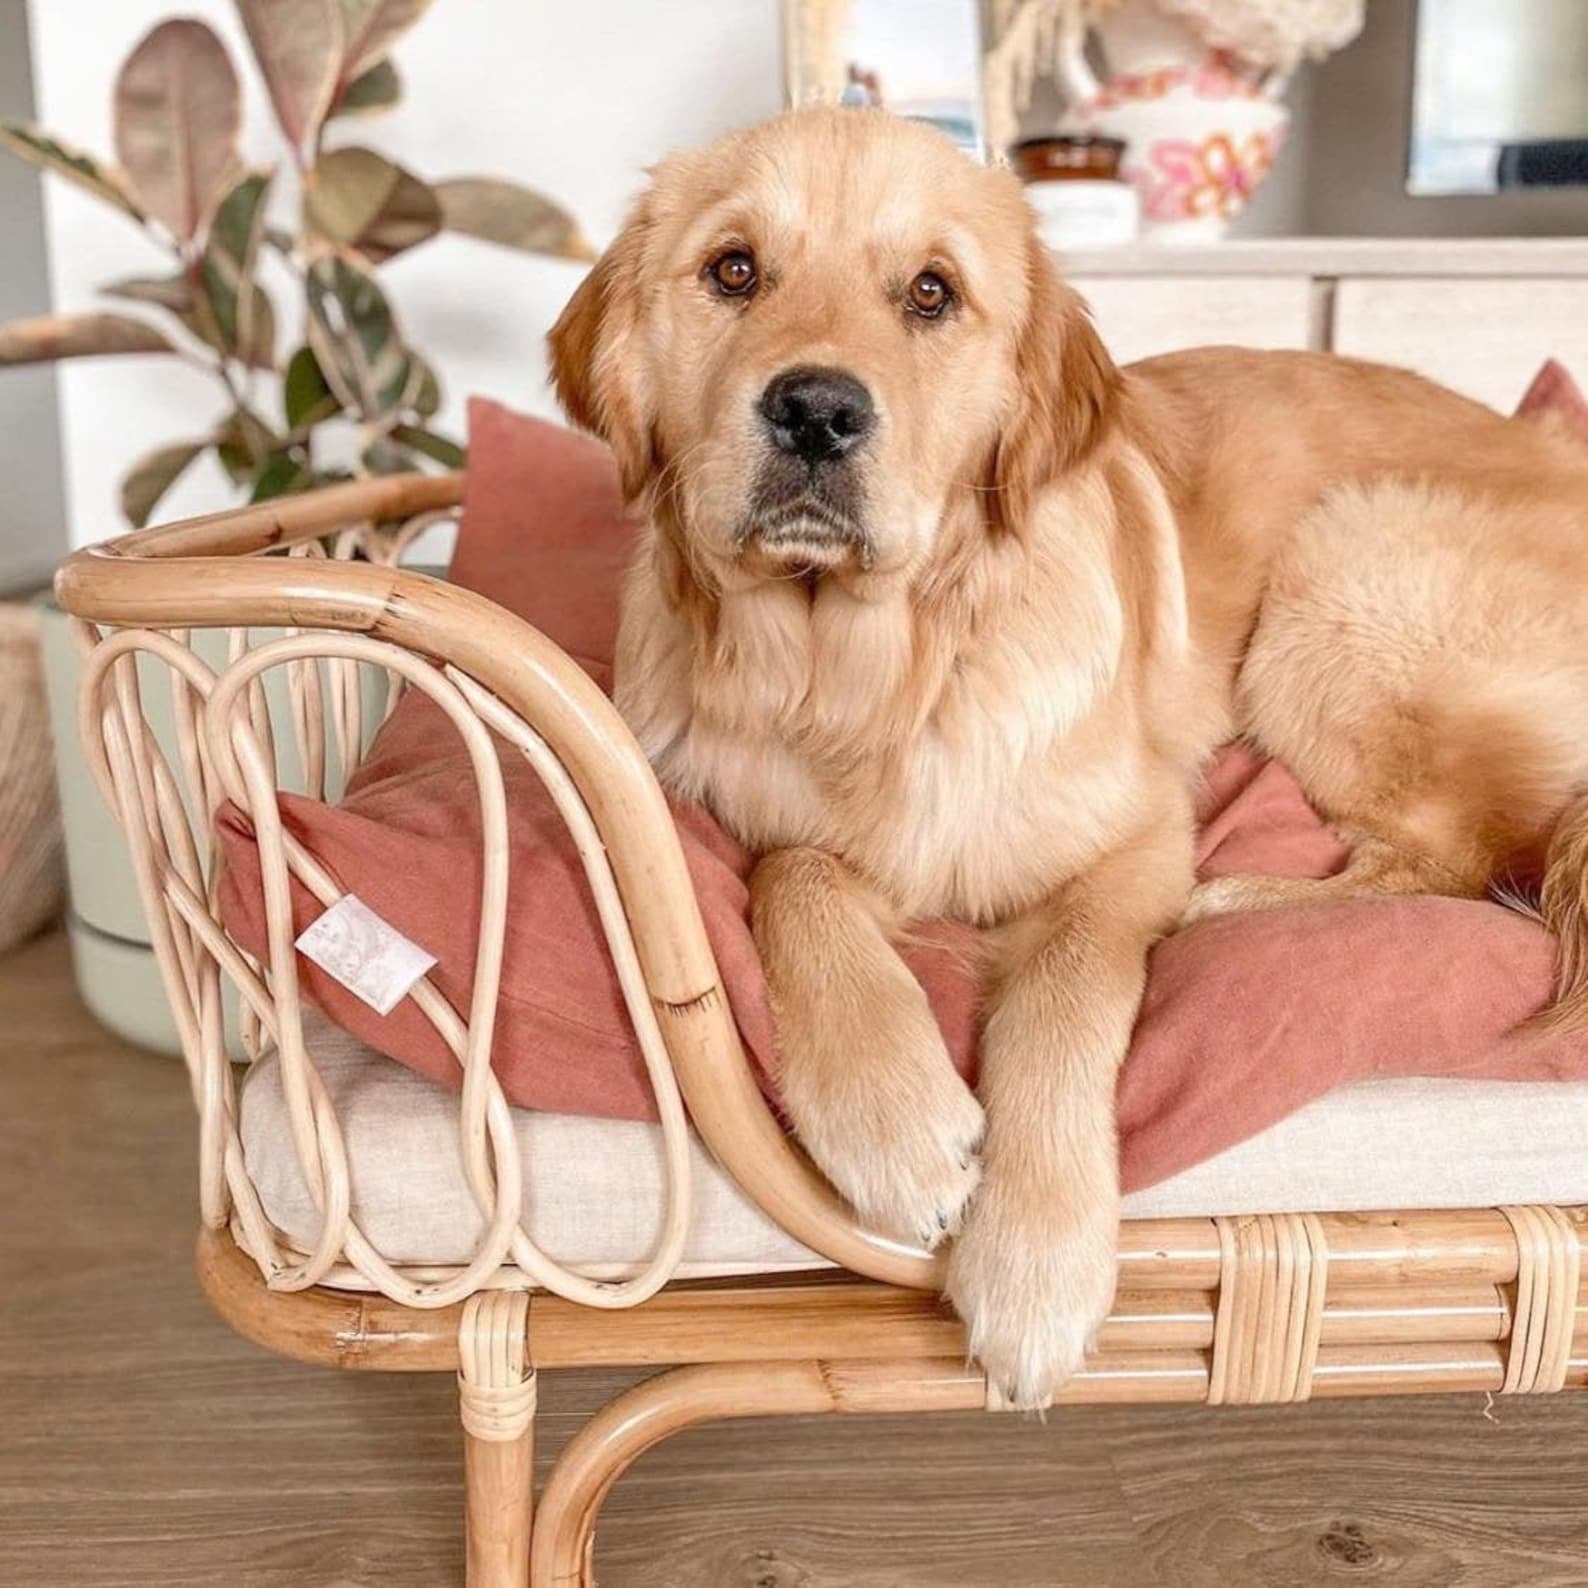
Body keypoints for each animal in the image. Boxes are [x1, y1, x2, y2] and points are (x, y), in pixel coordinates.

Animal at [546, 108, 1588, 1403]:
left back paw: (1238, 897)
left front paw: (1033, 1259)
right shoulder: (795, 831)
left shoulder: (1129, 841)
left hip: (1345, 566)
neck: (875, 672)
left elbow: (1063, 994)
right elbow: (796, 877)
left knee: (1463, 851)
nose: (816, 411)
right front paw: (892, 1120)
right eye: (733, 270)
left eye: (931, 293)